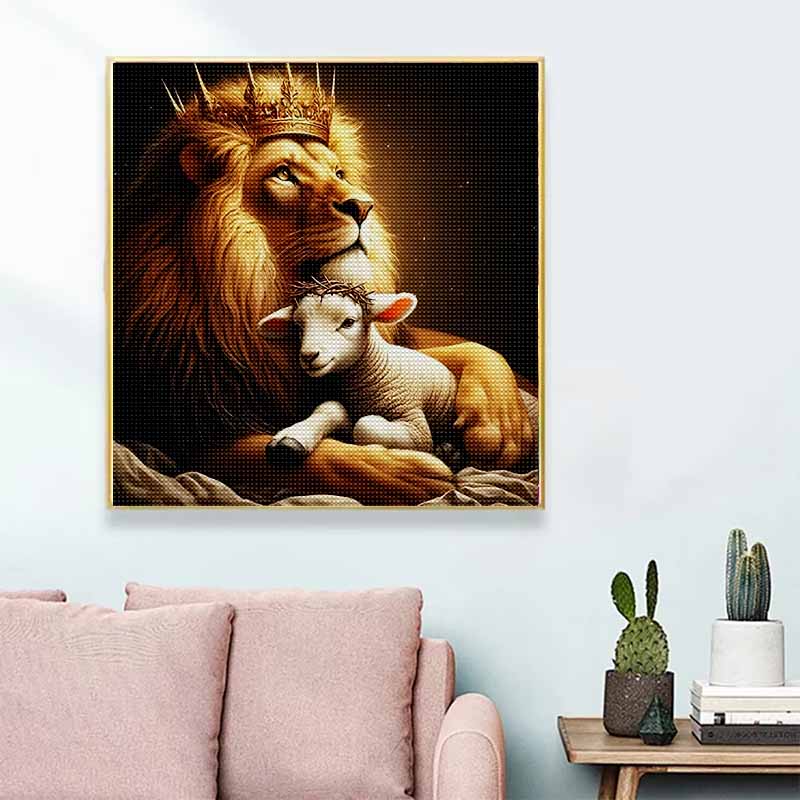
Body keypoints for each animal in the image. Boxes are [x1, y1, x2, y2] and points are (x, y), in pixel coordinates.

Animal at [113, 66, 534, 505]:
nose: (363, 206)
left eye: (338, 173)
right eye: (284, 173)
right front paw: (407, 474)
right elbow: (317, 458)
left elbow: (469, 349)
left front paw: (499, 427)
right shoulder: (195, 426)